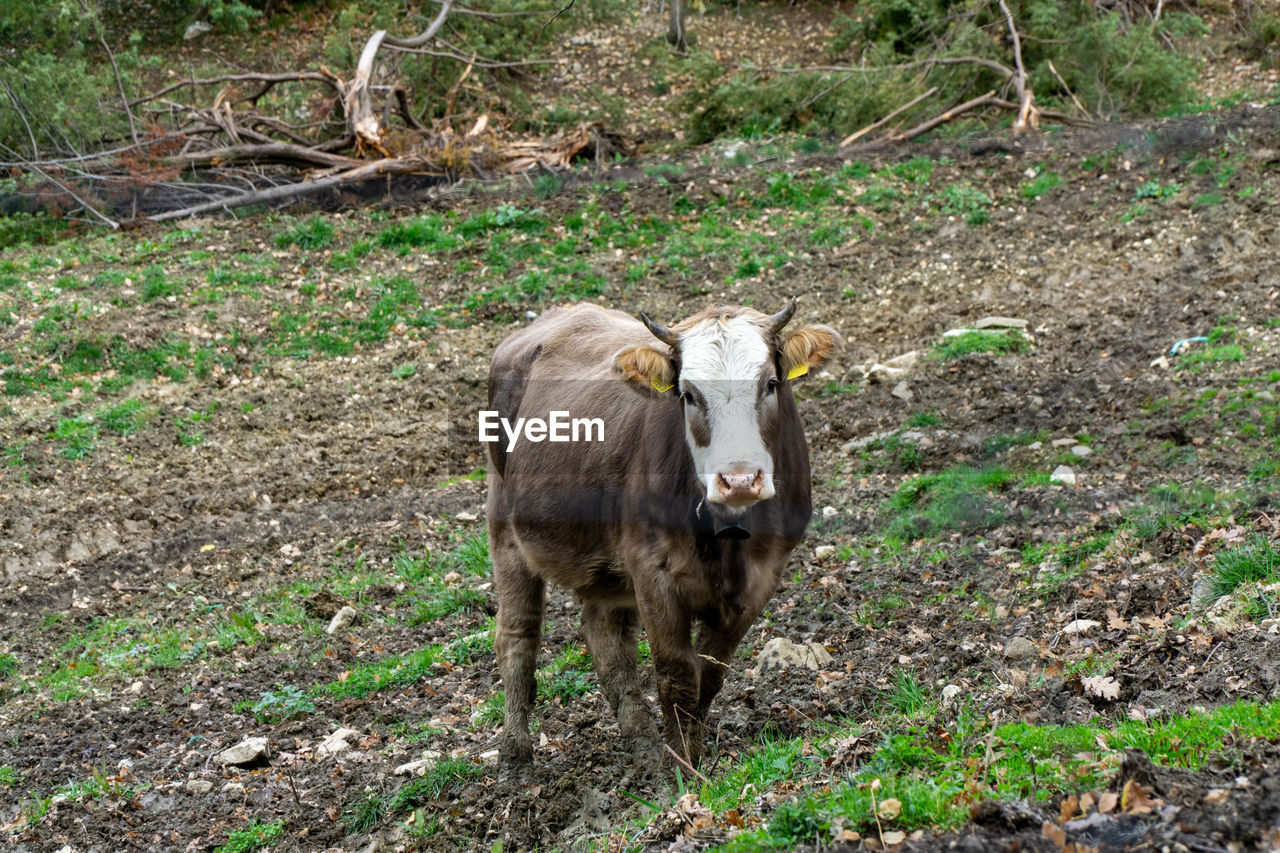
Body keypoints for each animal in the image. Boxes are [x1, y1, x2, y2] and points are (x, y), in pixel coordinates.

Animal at [481, 302, 839, 768]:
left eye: (771, 383)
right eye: (688, 394)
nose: (739, 480)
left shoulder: (763, 577)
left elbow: (710, 673)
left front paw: (692, 753)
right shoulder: (652, 570)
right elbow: (676, 674)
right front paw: (681, 766)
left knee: (606, 635)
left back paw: (641, 741)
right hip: (504, 526)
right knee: (517, 634)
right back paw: (516, 753)